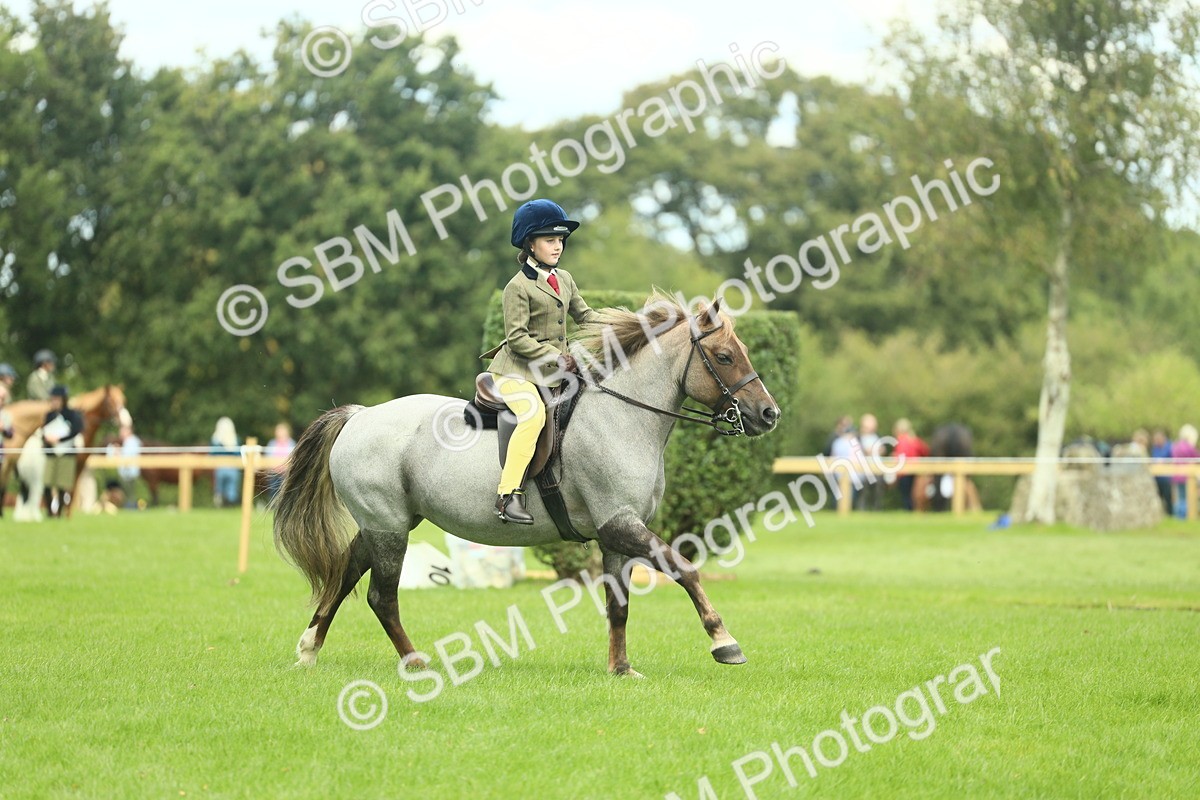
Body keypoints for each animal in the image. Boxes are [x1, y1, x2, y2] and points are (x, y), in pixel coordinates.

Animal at [273, 296, 780, 677]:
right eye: (724, 356)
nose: (768, 414)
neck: (623, 416)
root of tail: (359, 415)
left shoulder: (616, 533)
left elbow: (619, 606)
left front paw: (620, 669)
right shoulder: (620, 524)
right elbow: (685, 569)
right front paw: (724, 641)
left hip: (384, 524)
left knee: (345, 574)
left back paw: (309, 649)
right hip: (390, 528)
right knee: (382, 597)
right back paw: (415, 662)